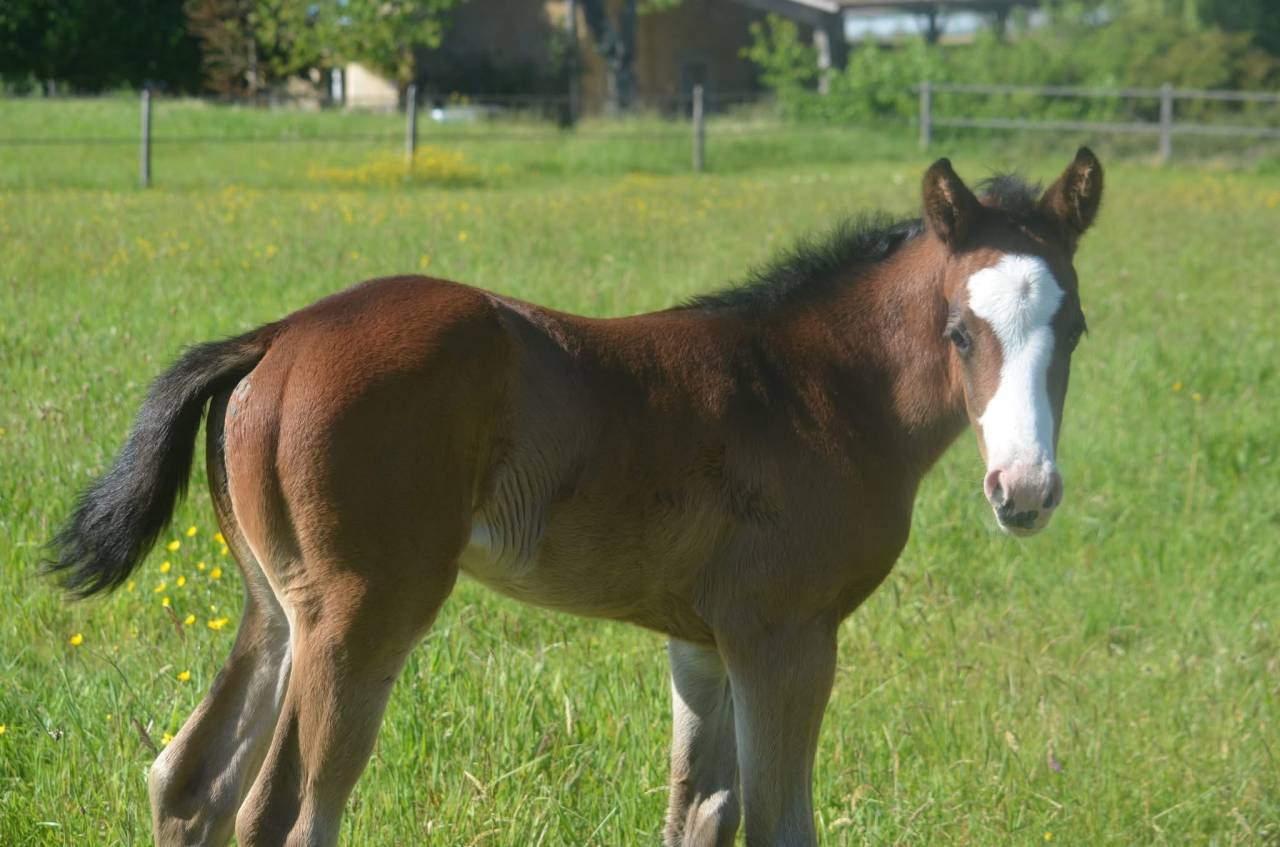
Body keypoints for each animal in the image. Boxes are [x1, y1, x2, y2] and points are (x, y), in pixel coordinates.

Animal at [48, 149, 1102, 847]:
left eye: (1077, 325)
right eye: (961, 329)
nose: (1025, 490)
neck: (815, 388)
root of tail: (278, 334)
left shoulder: (703, 642)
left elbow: (699, 812)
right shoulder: (786, 636)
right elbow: (777, 823)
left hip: (277, 605)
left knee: (189, 781)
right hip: (360, 612)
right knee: (286, 812)